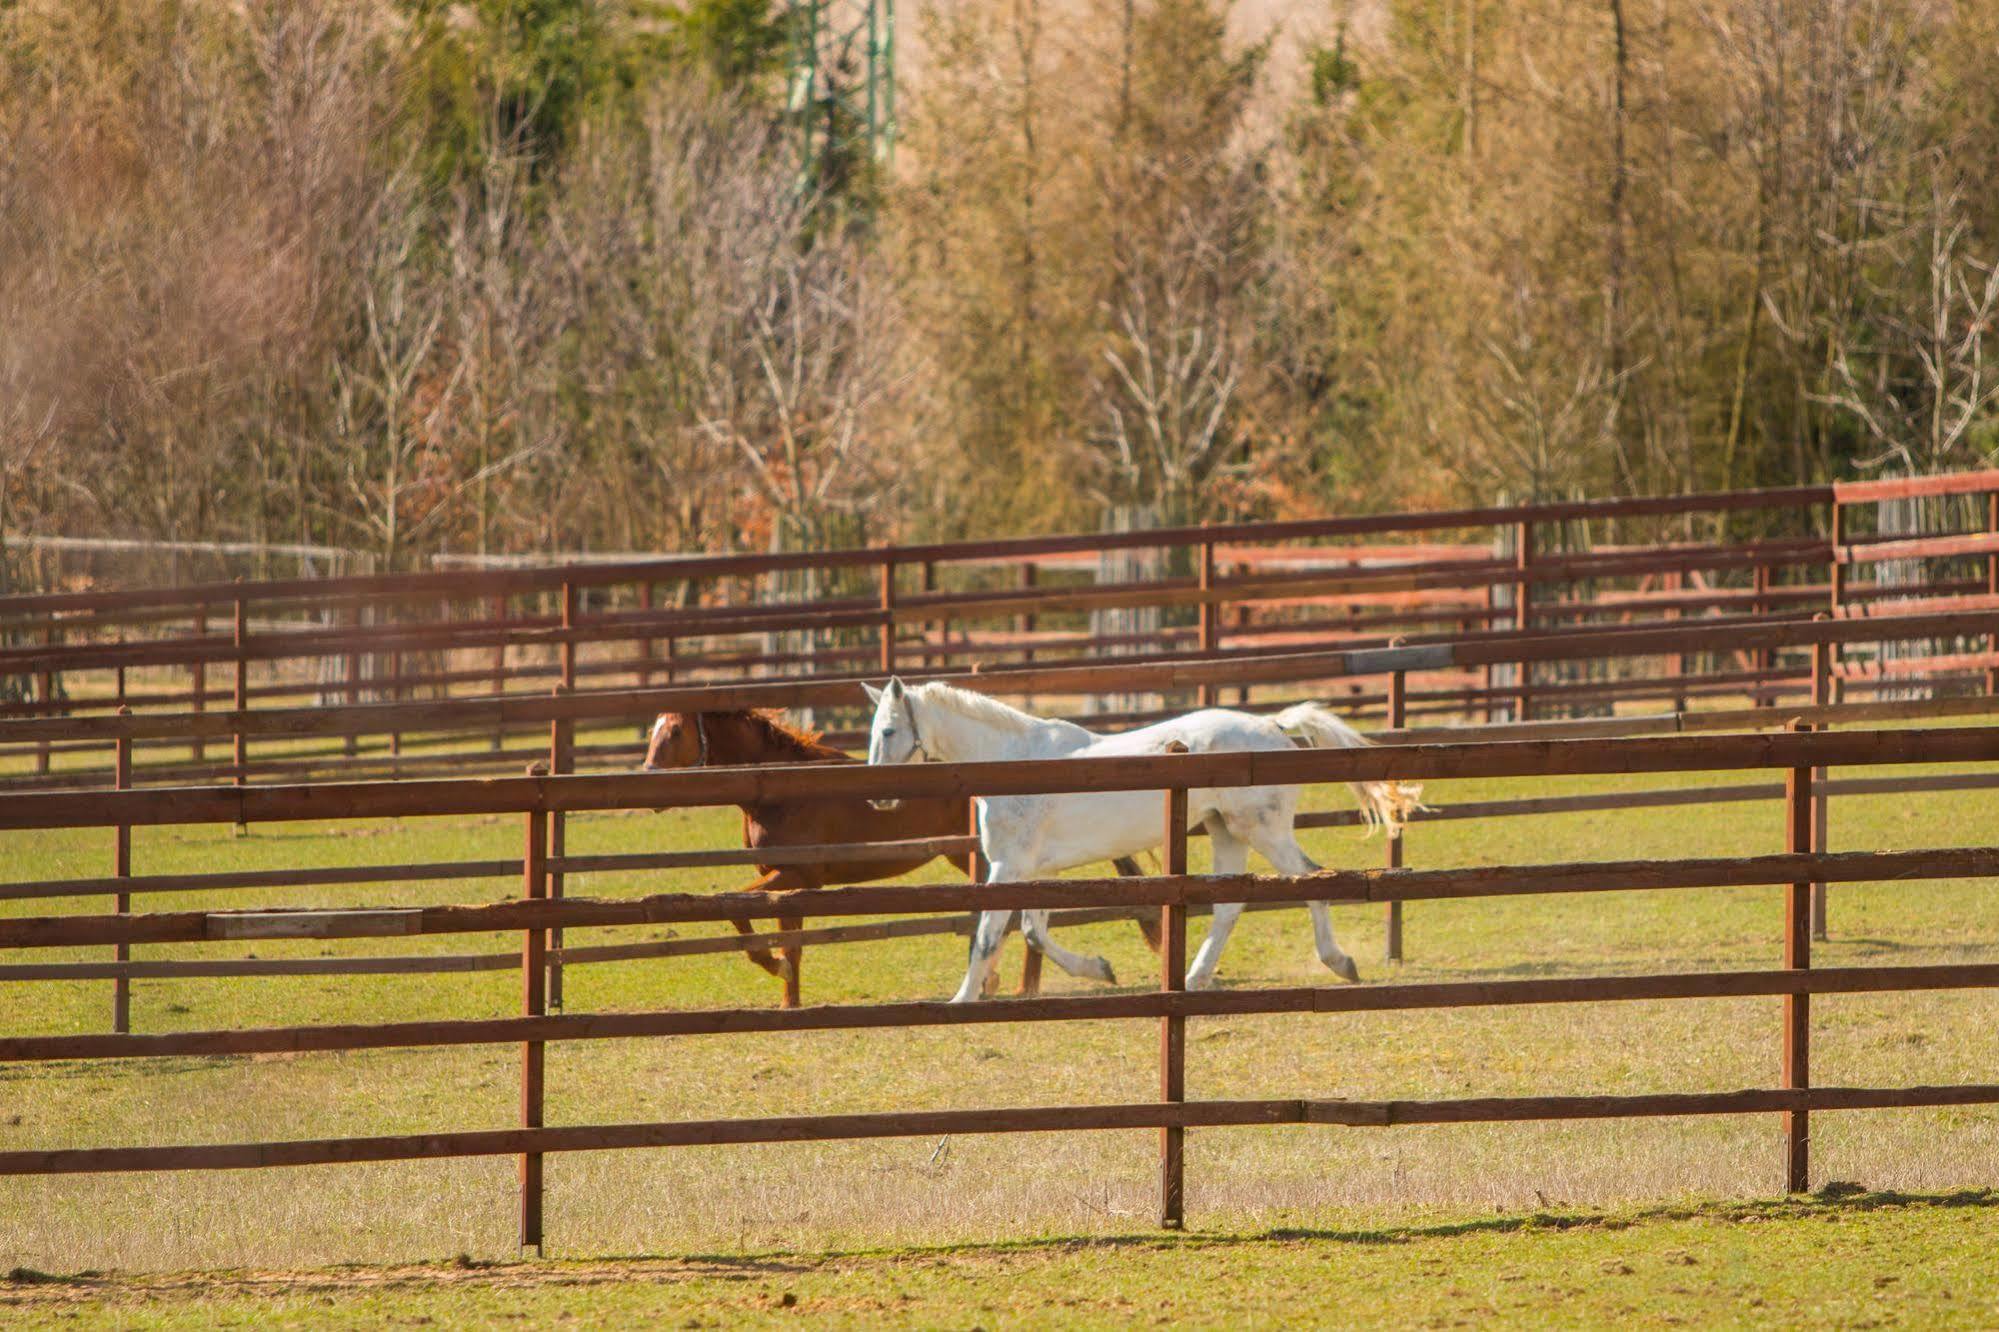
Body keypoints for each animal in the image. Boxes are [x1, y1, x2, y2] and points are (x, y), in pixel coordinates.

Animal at [635, 712, 1143, 1000]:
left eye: (675, 732)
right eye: (653, 731)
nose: (648, 780)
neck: (782, 789)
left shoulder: (798, 874)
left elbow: (733, 904)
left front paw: (771, 964)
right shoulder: (789, 883)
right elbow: (789, 942)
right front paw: (787, 994)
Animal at [859, 680, 1423, 1000]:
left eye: (888, 731)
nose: (877, 799)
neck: (1013, 760)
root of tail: (1270, 726)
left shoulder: (1007, 869)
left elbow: (987, 937)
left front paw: (961, 1001)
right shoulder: (1035, 871)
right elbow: (1035, 934)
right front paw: (1100, 970)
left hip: (1260, 829)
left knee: (1309, 879)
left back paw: (1339, 962)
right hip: (1224, 830)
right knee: (1230, 905)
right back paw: (1194, 979)